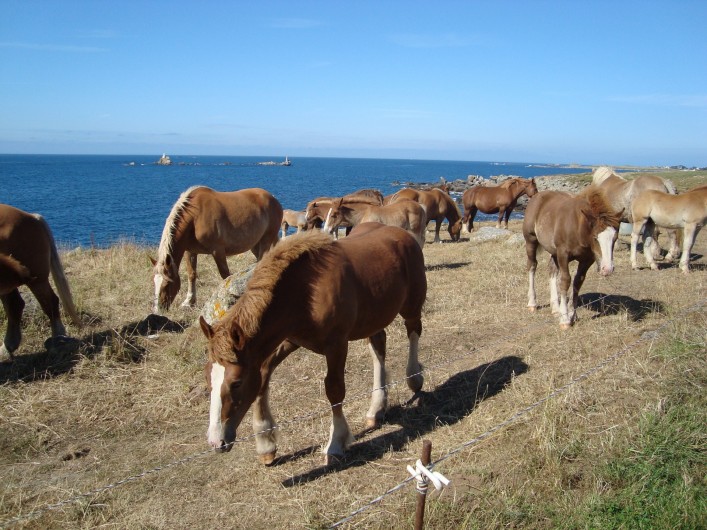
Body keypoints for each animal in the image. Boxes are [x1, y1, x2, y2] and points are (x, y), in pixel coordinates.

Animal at [151, 186, 282, 313]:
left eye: (167, 284)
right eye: (154, 283)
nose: (158, 310)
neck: (195, 217)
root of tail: (273, 199)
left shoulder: (217, 250)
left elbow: (225, 275)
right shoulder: (190, 251)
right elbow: (192, 274)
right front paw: (189, 302)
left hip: (266, 240)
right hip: (255, 245)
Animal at [199, 223, 426, 465]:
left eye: (236, 383)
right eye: (208, 379)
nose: (216, 442)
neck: (304, 293)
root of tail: (401, 233)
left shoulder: (336, 345)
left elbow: (334, 390)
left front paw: (335, 443)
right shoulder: (289, 340)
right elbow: (263, 375)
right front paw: (265, 443)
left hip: (411, 307)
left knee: (413, 331)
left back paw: (414, 378)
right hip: (374, 316)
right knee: (379, 347)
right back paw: (376, 408)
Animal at [523, 188, 623, 329]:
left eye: (615, 238)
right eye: (595, 237)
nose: (607, 269)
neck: (578, 227)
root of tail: (537, 196)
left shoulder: (587, 259)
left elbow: (577, 282)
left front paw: (572, 315)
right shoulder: (563, 254)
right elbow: (566, 281)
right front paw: (565, 320)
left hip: (554, 251)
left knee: (552, 270)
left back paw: (555, 308)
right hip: (531, 240)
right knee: (532, 265)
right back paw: (532, 303)